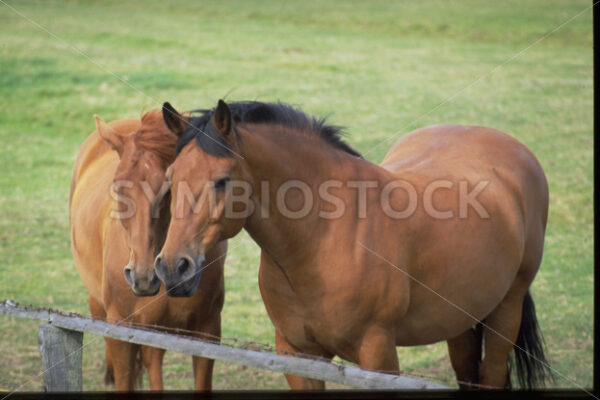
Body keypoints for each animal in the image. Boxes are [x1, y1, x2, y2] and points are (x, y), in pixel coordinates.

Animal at [154, 101, 548, 390]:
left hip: (506, 311)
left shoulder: (378, 357)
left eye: (222, 180)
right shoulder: (298, 354)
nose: (173, 268)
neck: (324, 239)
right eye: (171, 177)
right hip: (462, 320)